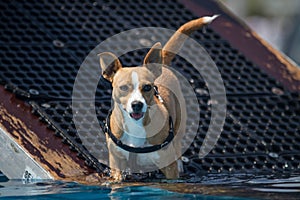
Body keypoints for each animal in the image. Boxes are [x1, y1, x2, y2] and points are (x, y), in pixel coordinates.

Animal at [99, 15, 217, 181]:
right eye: (123, 88)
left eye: (147, 87)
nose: (137, 104)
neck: (136, 126)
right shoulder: (117, 162)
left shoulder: (168, 166)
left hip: (179, 128)